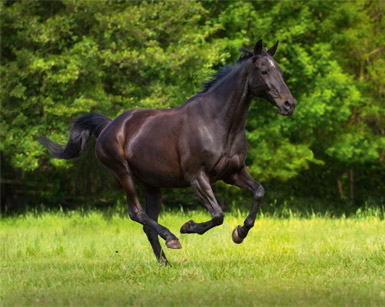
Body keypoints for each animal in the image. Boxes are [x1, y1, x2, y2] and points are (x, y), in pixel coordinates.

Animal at [39, 39, 296, 266]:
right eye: (263, 70)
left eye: (281, 70)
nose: (289, 104)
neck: (217, 122)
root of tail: (109, 126)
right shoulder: (197, 177)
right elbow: (217, 215)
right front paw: (188, 227)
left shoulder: (233, 173)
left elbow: (259, 192)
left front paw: (239, 233)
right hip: (123, 173)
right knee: (136, 213)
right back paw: (172, 239)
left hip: (153, 186)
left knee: (147, 224)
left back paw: (165, 264)